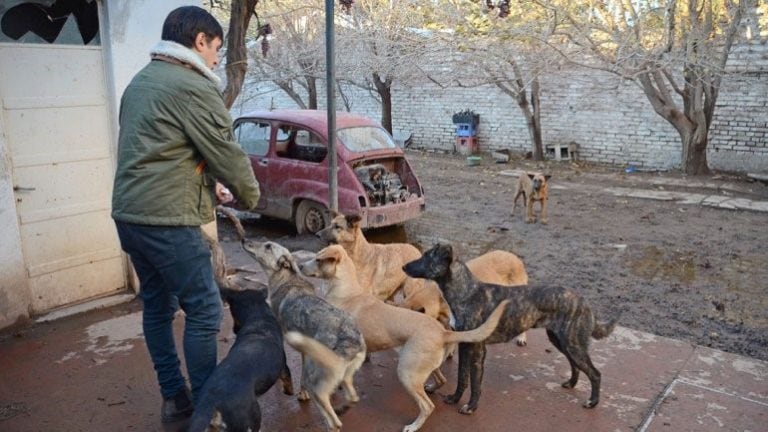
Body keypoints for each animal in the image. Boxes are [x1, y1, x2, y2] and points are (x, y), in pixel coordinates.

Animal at [187, 286, 294, 432]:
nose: (234, 330)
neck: (257, 318)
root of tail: (210, 405)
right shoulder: (284, 367)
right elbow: (288, 381)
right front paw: (290, 393)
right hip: (251, 420)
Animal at [300, 245, 510, 432]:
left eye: (318, 259)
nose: (300, 266)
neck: (345, 292)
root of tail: (443, 332)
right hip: (419, 367)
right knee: (440, 380)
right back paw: (432, 387)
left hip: (406, 373)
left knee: (427, 406)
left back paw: (413, 426)